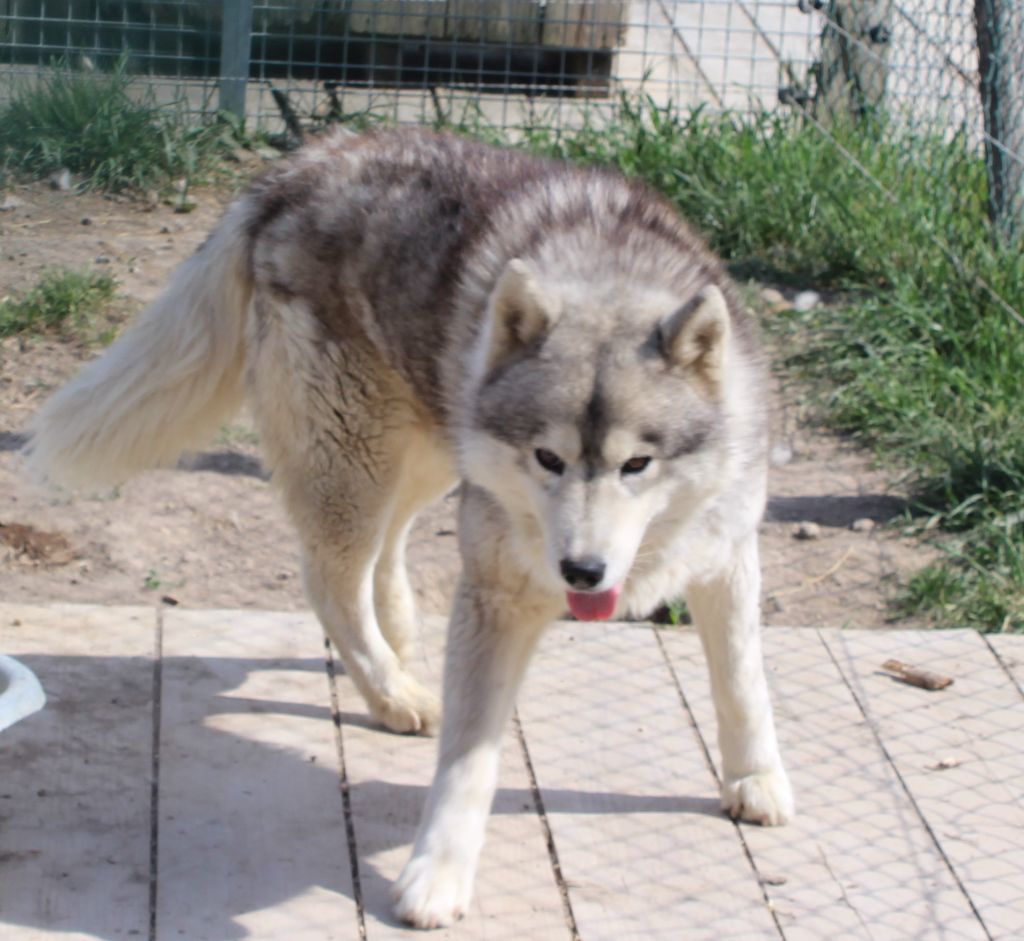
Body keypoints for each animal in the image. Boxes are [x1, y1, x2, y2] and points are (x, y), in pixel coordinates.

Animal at [24, 129, 794, 929]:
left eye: (636, 464)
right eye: (548, 458)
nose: (581, 572)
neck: (606, 272)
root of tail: (303, 162)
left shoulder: (726, 554)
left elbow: (743, 682)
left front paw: (756, 780)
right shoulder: (497, 596)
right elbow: (468, 759)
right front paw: (437, 878)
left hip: (424, 451)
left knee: (386, 548)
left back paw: (399, 640)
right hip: (357, 461)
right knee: (330, 578)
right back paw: (391, 692)